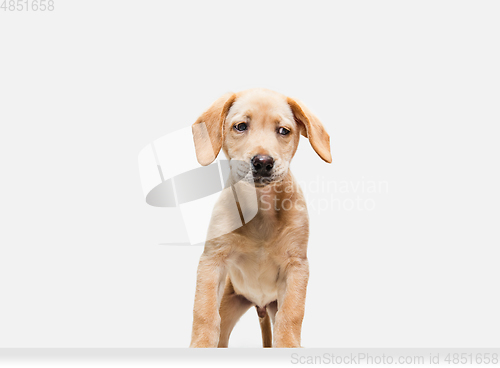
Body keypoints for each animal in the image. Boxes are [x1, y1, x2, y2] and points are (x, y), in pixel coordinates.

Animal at [189, 87, 330, 346]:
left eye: (283, 130)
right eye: (241, 126)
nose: (263, 162)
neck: (261, 209)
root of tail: (260, 306)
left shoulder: (296, 267)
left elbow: (291, 315)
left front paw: (289, 345)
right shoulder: (212, 261)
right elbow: (204, 312)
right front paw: (200, 345)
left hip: (273, 305)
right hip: (230, 302)